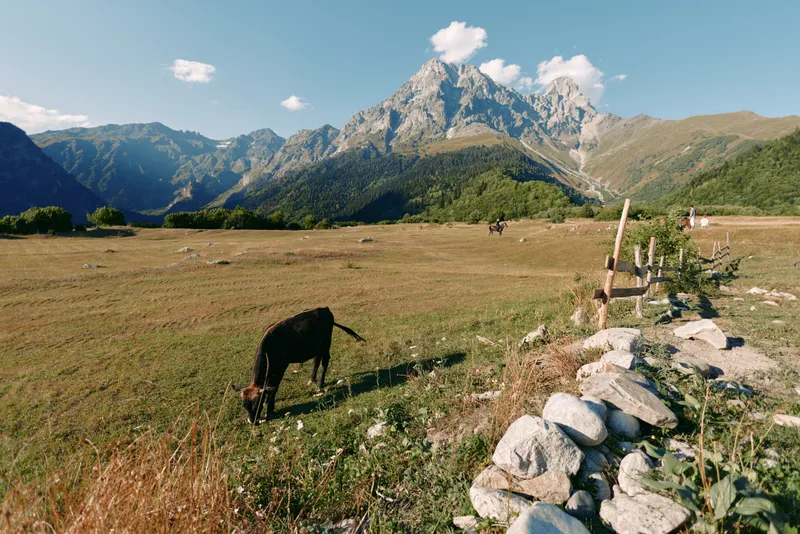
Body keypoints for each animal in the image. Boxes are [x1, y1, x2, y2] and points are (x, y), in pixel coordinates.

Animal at [231, 307, 365, 424]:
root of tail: (324, 309)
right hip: (317, 345)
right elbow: (269, 387)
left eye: (257, 404)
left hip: (326, 342)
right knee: (317, 360)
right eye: (244, 406)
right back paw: (311, 379)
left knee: (325, 361)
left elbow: (273, 387)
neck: (270, 346)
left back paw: (319, 384)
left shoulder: (280, 367)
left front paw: (270, 409)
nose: (252, 422)